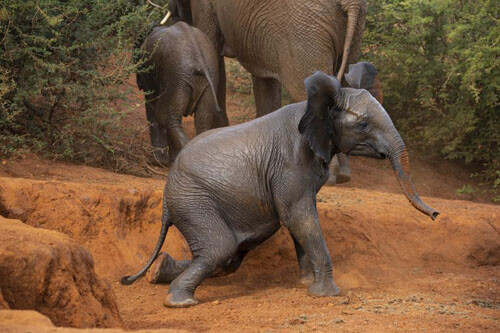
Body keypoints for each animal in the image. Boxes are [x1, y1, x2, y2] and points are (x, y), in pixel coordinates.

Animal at [121, 71, 438, 308]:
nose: (436, 215)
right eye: (363, 124)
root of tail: (165, 196)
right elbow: (299, 217)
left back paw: (159, 271)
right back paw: (179, 302)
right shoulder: (290, 162)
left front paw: (306, 283)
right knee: (221, 248)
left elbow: (299, 220)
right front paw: (325, 294)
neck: (314, 106)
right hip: (194, 202)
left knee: (228, 257)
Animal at [137, 21, 230, 165]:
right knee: (202, 117)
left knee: (166, 116)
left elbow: (152, 106)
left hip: (175, 77)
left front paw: (156, 162)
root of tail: (198, 60)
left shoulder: (149, 74)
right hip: (205, 76)